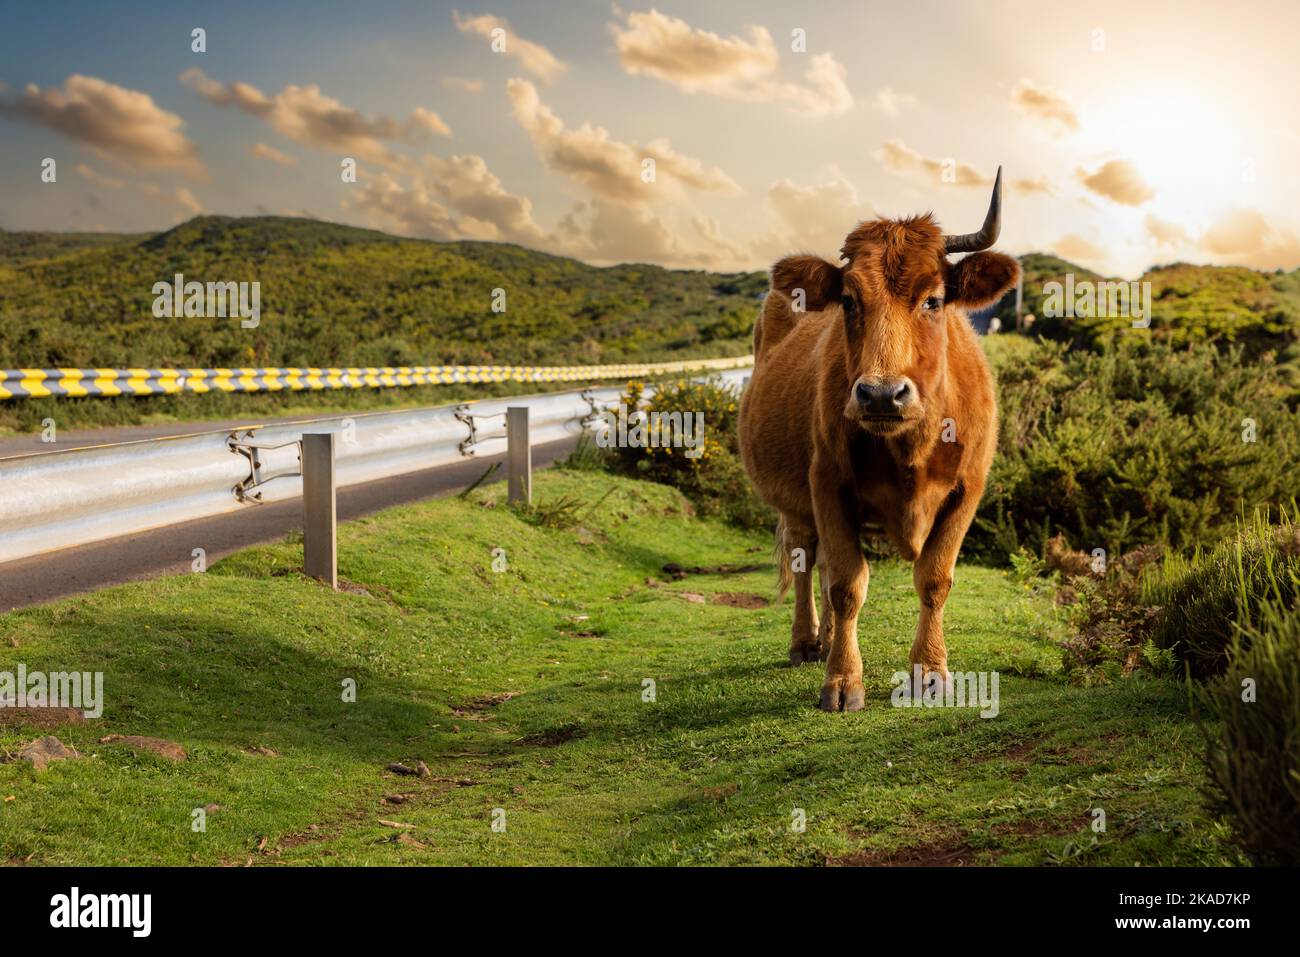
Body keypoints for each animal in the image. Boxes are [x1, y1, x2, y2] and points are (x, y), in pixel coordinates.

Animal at [738, 170, 1019, 712]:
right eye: (849, 300)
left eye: (933, 299)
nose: (882, 394)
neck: (911, 448)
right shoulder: (827, 485)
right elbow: (848, 585)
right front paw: (842, 681)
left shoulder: (967, 490)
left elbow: (934, 578)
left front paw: (930, 672)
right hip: (795, 504)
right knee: (807, 560)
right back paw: (806, 642)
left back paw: (826, 638)